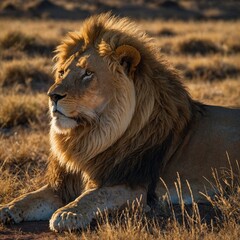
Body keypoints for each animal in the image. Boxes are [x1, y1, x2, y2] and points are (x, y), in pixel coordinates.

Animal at [0, 13, 240, 232]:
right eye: (61, 72)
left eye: (88, 74)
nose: (52, 96)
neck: (90, 138)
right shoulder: (65, 184)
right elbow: (32, 196)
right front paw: (7, 208)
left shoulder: (135, 187)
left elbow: (94, 195)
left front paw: (68, 213)